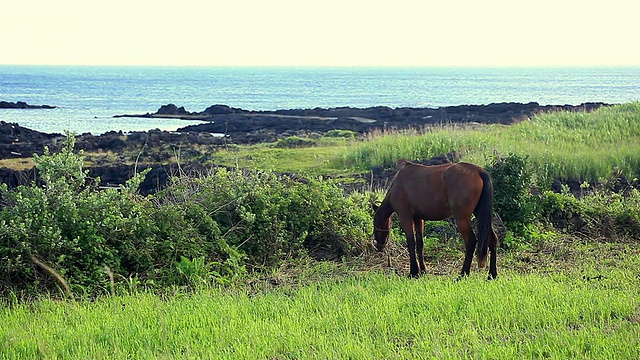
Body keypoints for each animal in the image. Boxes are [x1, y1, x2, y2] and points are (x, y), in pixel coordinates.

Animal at [370, 162, 500, 280]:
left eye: (375, 225)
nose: (379, 247)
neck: (397, 185)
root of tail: (478, 171)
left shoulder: (405, 217)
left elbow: (411, 243)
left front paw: (413, 272)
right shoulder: (418, 219)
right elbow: (420, 244)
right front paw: (422, 270)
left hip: (462, 219)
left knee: (471, 242)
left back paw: (463, 274)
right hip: (480, 215)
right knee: (492, 240)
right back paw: (492, 275)